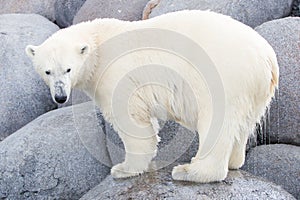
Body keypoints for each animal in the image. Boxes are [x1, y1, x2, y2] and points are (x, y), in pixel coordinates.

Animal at [25, 10, 278, 183]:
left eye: (68, 69)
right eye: (47, 71)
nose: (60, 97)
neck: (99, 44)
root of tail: (266, 58)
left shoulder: (116, 75)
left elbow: (131, 120)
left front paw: (123, 168)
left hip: (223, 77)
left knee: (217, 122)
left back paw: (190, 171)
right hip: (254, 93)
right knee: (242, 125)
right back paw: (234, 161)